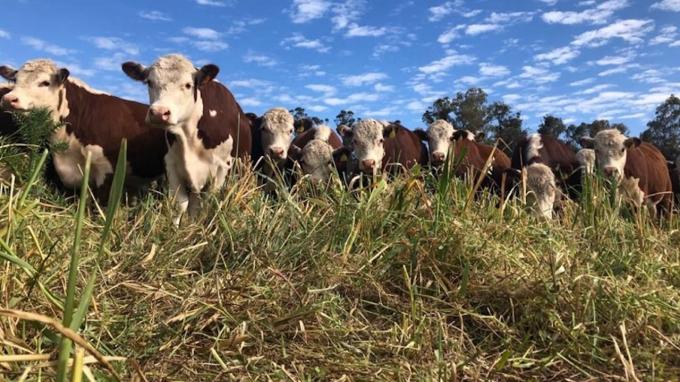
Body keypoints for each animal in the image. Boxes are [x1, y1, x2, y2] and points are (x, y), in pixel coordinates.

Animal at [122, 54, 252, 227]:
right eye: (149, 82)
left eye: (188, 85)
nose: (159, 113)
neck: (189, 136)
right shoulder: (171, 165)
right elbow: (180, 204)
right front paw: (175, 229)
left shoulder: (222, 168)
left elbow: (210, 202)